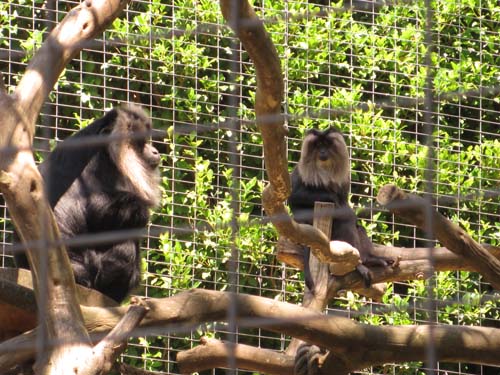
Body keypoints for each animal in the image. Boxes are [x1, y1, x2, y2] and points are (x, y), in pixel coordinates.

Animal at [288, 127, 392, 290]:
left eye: (327, 145)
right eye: (318, 145)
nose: (323, 151)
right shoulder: (300, 175)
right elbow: (295, 197)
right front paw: (334, 198)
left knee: (357, 227)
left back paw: (369, 260)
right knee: (344, 220)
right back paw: (359, 266)